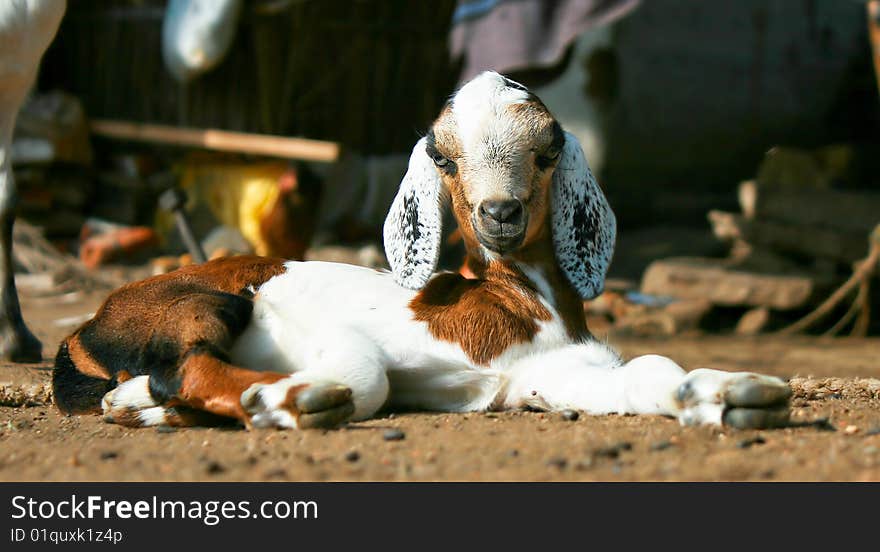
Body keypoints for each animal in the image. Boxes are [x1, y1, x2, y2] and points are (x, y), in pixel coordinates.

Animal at [49, 70, 792, 432]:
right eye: (443, 157)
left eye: (549, 148)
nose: (500, 213)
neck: (516, 299)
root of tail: (83, 328)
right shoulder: (340, 335)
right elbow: (368, 376)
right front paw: (290, 394)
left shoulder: (543, 375)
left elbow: (646, 371)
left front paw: (733, 394)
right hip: (196, 302)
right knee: (189, 366)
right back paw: (282, 396)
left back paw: (136, 403)